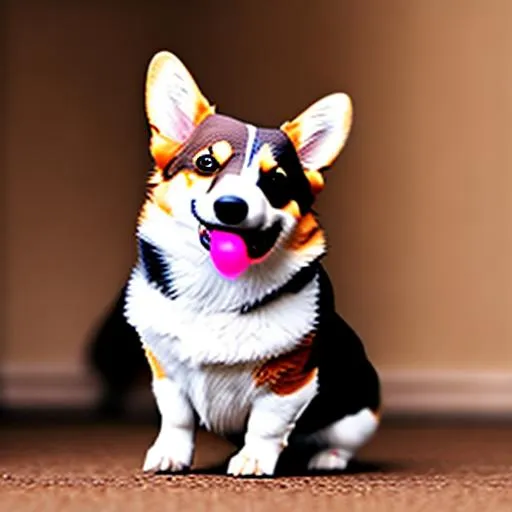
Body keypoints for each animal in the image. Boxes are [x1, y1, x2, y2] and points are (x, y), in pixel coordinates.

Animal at [123, 51, 380, 476]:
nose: (232, 206)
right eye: (206, 163)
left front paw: (254, 460)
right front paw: (169, 456)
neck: (214, 289)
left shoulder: (290, 382)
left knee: (340, 441)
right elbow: (176, 418)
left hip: (359, 414)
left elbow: (266, 424)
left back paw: (325, 459)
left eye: (275, 180)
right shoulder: (166, 371)